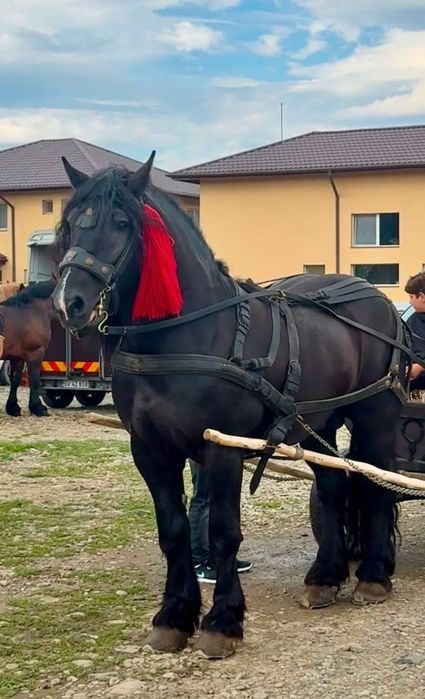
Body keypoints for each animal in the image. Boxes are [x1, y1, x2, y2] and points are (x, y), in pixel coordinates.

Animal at [0, 281, 55, 417]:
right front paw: (37, 407)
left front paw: (13, 407)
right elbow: (34, 379)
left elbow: (15, 380)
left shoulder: (17, 357)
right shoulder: (35, 353)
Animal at [51, 153, 406, 659]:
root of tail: (377, 296)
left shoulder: (222, 449)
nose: (70, 303)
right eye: (69, 225)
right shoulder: (149, 450)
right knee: (334, 487)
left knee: (377, 485)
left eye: (121, 223)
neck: (187, 334)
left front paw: (223, 621)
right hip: (319, 421)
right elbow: (174, 531)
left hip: (374, 416)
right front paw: (174, 615)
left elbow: (223, 533)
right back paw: (326, 575)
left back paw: (374, 574)